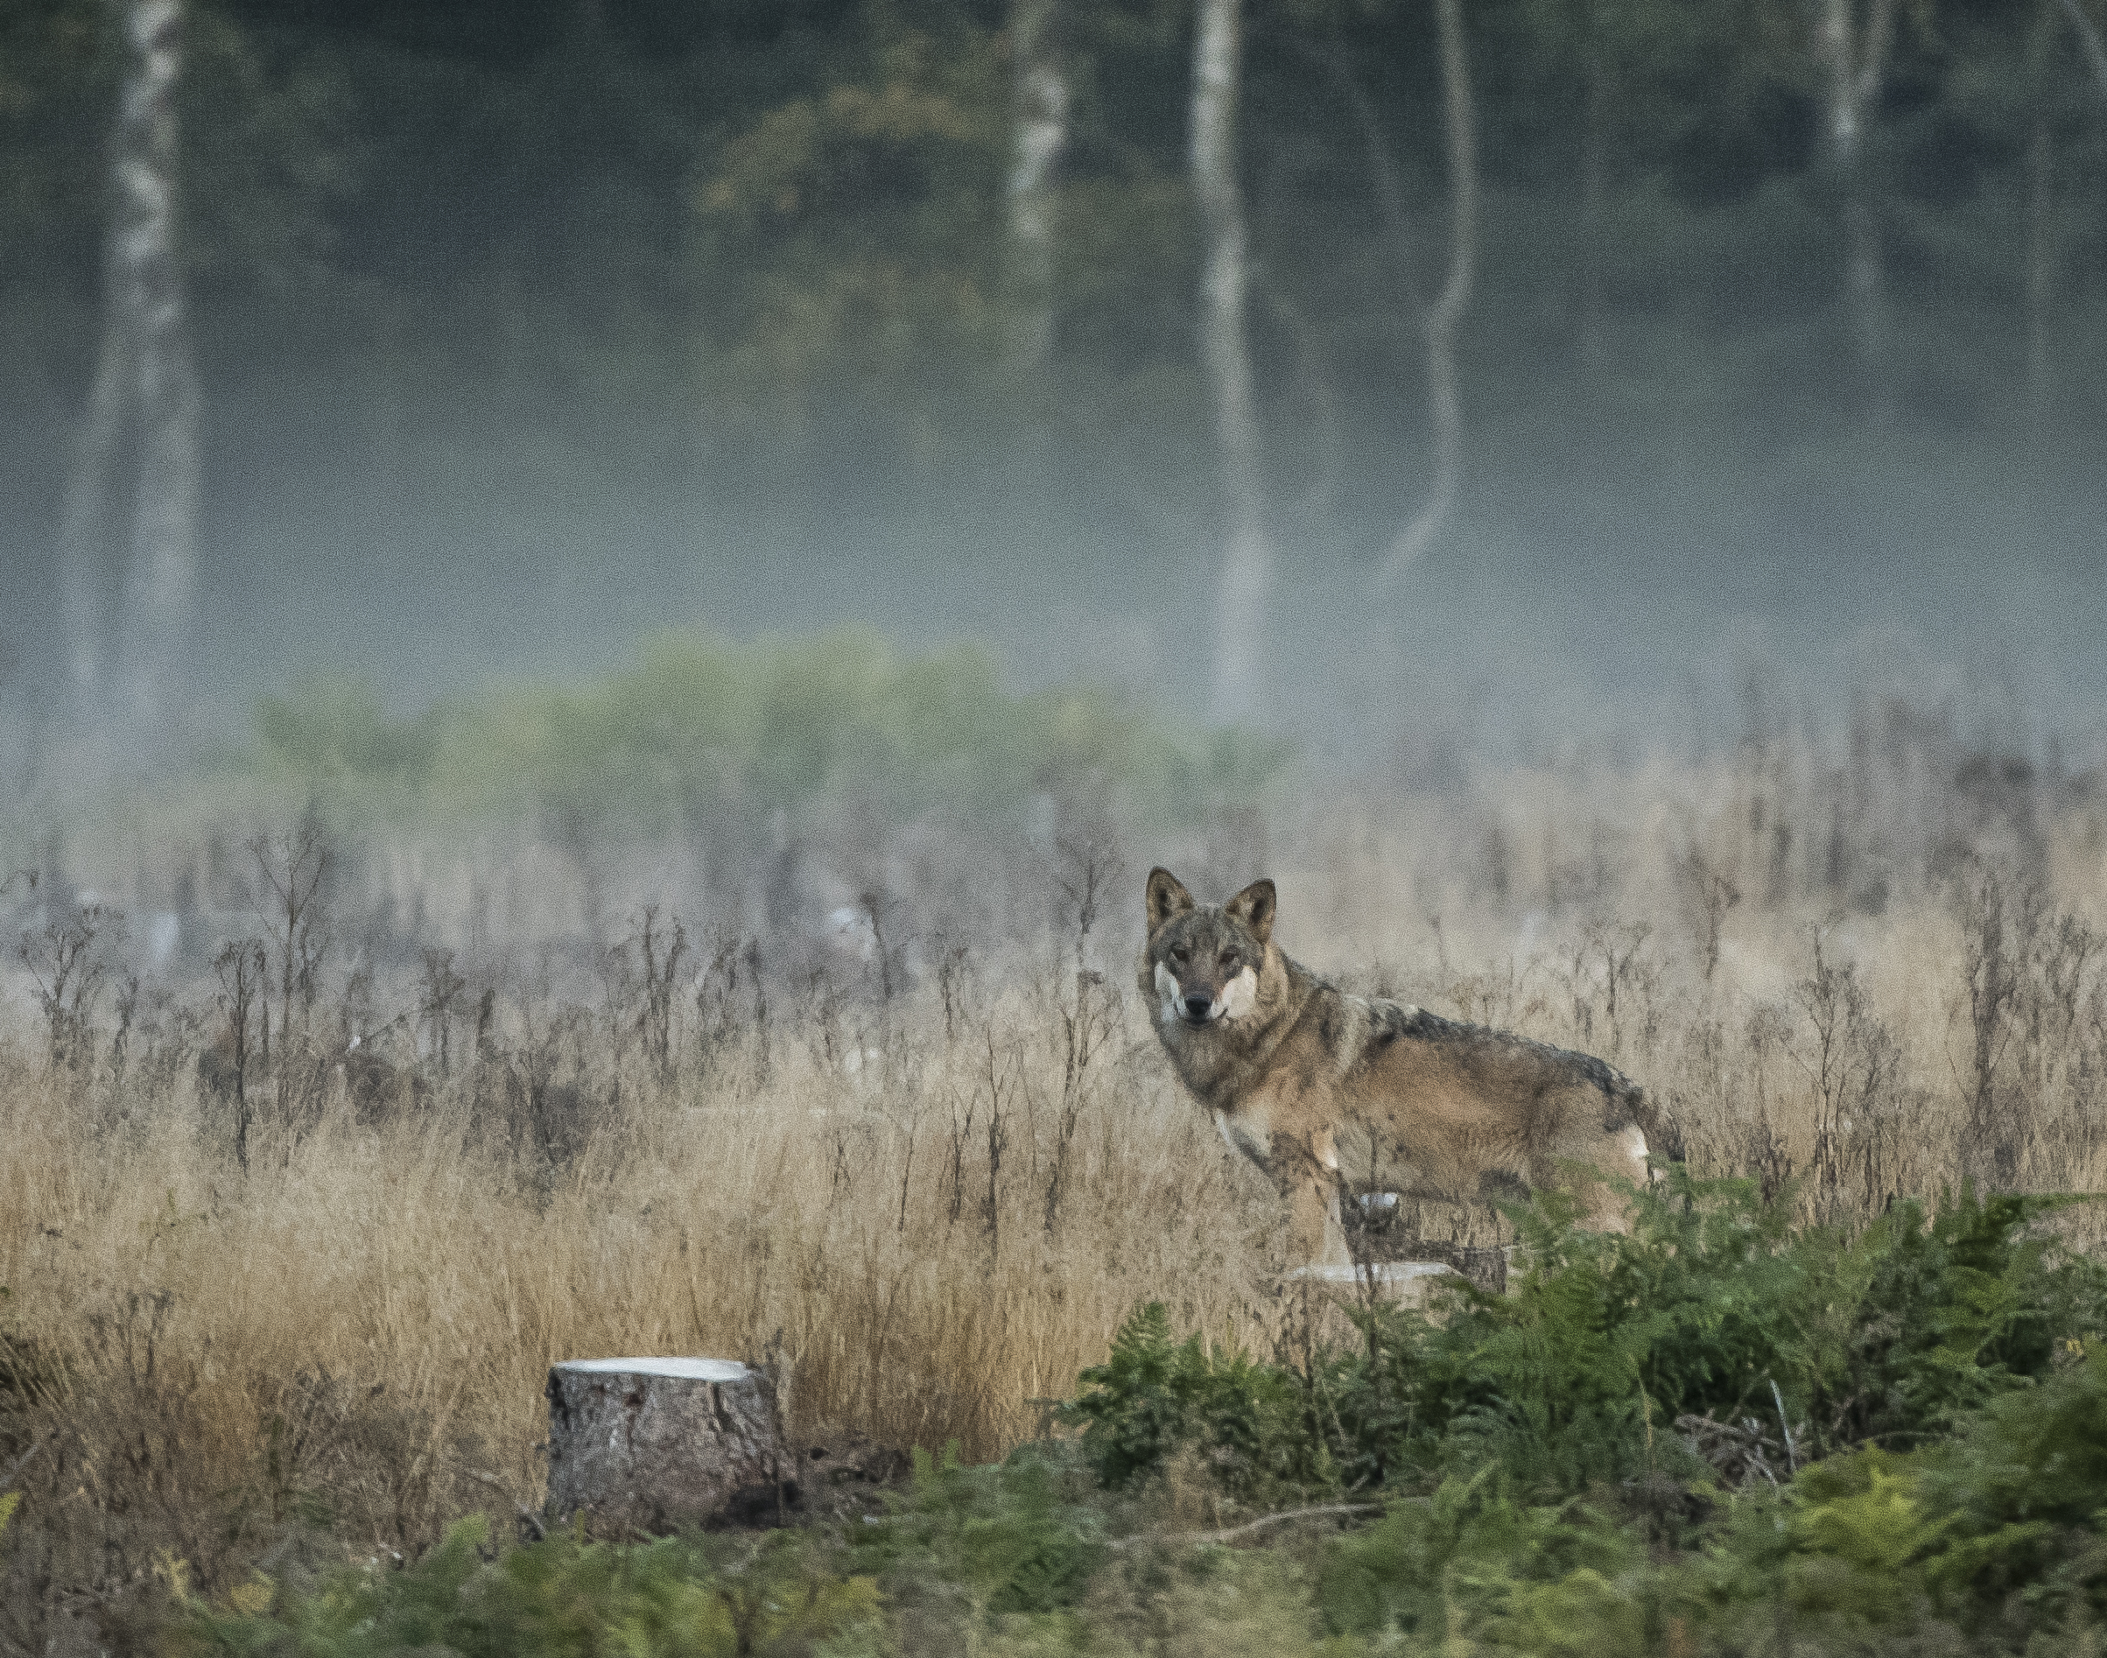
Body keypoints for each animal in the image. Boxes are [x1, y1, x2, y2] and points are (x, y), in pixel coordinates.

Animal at [1137, 867, 1677, 1272]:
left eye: (1228, 958)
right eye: (1180, 955)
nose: (1198, 1003)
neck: (1270, 1040)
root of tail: (1631, 1088)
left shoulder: (1308, 1180)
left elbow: (1301, 1271)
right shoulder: (1328, 1191)